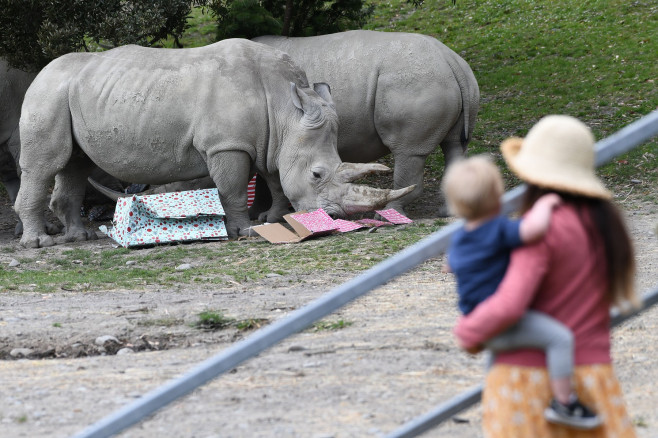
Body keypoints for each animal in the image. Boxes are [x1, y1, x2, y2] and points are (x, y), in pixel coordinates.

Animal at [15, 39, 410, 248]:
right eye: (316, 175)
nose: (337, 217)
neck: (285, 109)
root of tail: (39, 74)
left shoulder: (270, 142)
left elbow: (274, 180)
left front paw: (272, 217)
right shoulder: (227, 145)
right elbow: (233, 188)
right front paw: (244, 231)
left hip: (67, 93)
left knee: (74, 164)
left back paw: (77, 237)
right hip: (46, 94)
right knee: (45, 165)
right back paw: (39, 244)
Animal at [254, 30, 480, 215]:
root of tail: (450, 58)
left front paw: (264, 216)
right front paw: (260, 214)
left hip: (416, 81)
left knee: (408, 152)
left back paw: (389, 214)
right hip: (459, 81)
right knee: (454, 145)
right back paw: (447, 212)